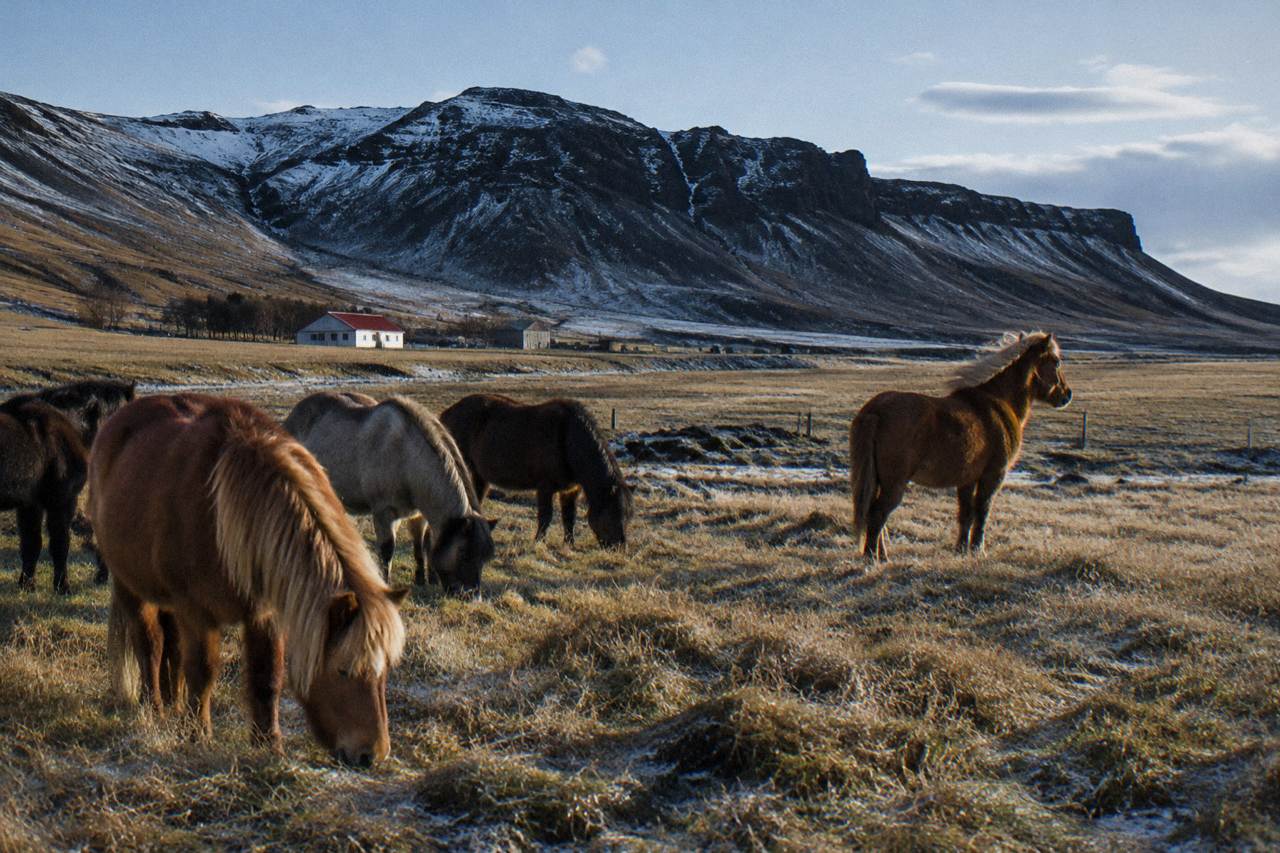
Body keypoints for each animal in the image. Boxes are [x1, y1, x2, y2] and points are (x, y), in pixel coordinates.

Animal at [0, 399, 87, 593]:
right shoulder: (62, 501)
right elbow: (60, 544)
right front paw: (63, 586)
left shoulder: (31, 504)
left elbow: (31, 544)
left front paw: (26, 585)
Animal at [89, 394, 407, 765]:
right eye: (343, 669)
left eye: (385, 672)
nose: (373, 754)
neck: (224, 514)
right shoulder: (196, 612)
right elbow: (202, 672)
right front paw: (199, 736)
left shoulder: (264, 614)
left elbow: (267, 677)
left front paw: (269, 745)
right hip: (131, 587)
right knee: (150, 645)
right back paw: (155, 709)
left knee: (171, 647)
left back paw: (173, 706)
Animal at [284, 392, 496, 592]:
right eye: (464, 553)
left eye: (484, 558)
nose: (472, 596)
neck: (407, 456)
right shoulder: (384, 513)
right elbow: (387, 550)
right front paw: (386, 583)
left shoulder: (418, 515)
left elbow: (421, 545)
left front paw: (421, 579)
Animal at [439, 394, 632, 548]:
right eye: (612, 513)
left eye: (627, 517)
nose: (619, 548)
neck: (567, 438)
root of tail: (445, 415)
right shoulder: (545, 488)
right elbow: (546, 517)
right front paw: (539, 541)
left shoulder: (570, 490)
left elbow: (569, 518)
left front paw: (569, 544)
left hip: (480, 476)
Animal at [849, 331, 1072, 562]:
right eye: (1056, 362)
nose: (1067, 395)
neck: (999, 402)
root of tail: (875, 410)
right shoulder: (993, 476)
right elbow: (982, 511)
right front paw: (978, 549)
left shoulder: (968, 479)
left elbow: (966, 514)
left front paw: (962, 549)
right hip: (895, 483)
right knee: (877, 515)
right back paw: (872, 557)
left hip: (878, 480)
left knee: (875, 515)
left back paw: (881, 555)